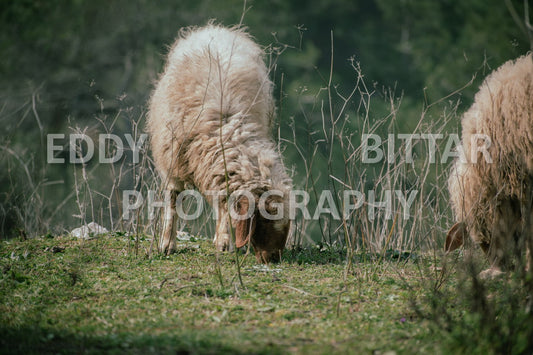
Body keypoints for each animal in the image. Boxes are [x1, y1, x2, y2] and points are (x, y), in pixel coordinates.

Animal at [148, 23, 294, 262]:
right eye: (265, 218)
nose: (274, 258)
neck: (224, 124)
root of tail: (215, 28)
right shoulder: (172, 160)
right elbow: (173, 201)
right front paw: (167, 244)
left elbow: (226, 207)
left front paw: (225, 241)